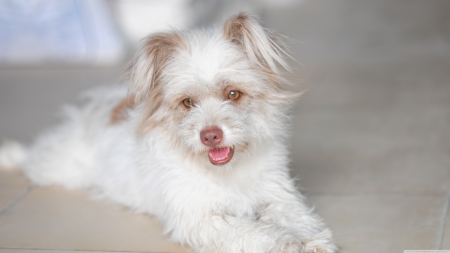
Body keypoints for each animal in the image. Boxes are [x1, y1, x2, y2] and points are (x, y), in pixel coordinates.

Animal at [0, 13, 336, 253]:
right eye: (187, 102)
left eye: (233, 94)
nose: (210, 135)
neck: (226, 172)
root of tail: (102, 105)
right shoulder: (200, 218)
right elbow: (254, 231)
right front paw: (286, 243)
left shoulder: (277, 195)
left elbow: (296, 217)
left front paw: (311, 240)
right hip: (58, 168)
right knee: (33, 155)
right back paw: (11, 153)